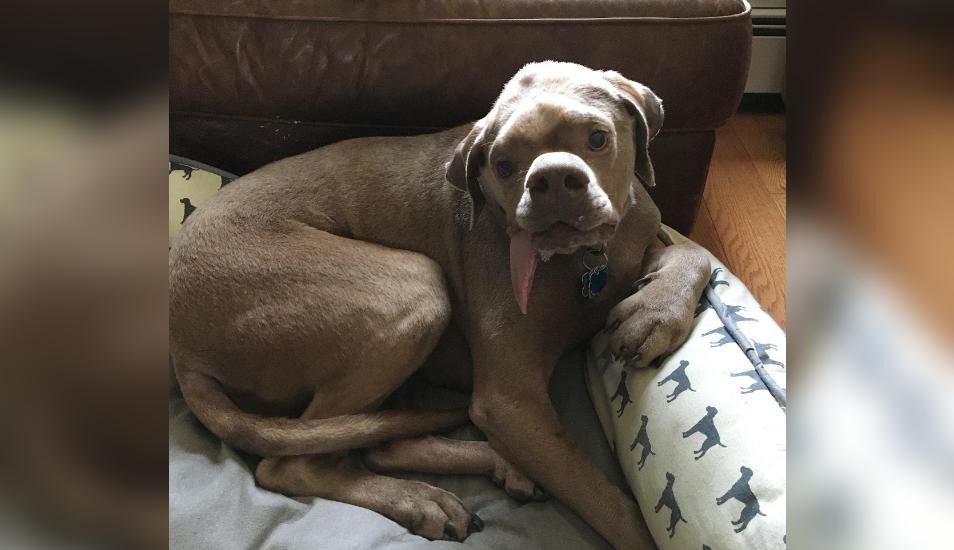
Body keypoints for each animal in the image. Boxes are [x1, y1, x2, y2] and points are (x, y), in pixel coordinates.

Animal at [169, 62, 708, 548]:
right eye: (504, 164)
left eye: (597, 138)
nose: (552, 182)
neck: (583, 264)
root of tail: (184, 354)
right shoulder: (509, 398)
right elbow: (609, 503)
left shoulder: (639, 244)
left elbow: (693, 252)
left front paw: (654, 314)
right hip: (415, 288)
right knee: (292, 464)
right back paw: (425, 498)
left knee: (383, 440)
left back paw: (496, 469)